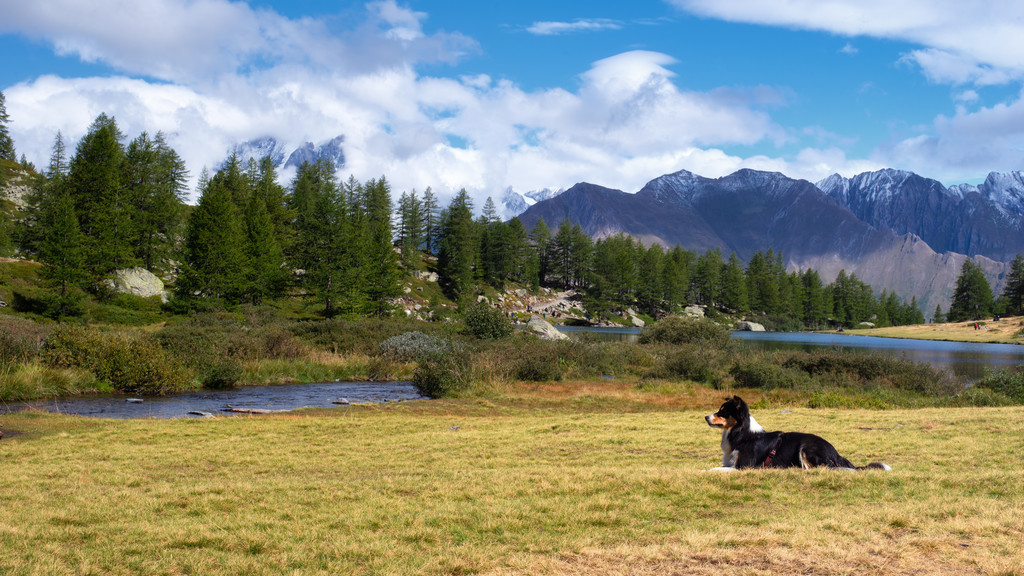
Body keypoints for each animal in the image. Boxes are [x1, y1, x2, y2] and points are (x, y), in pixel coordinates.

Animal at [704, 393, 888, 471]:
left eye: (722, 412)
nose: (705, 417)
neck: (744, 435)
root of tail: (836, 453)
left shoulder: (743, 466)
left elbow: (713, 469)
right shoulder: (730, 463)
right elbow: (717, 466)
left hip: (806, 447)